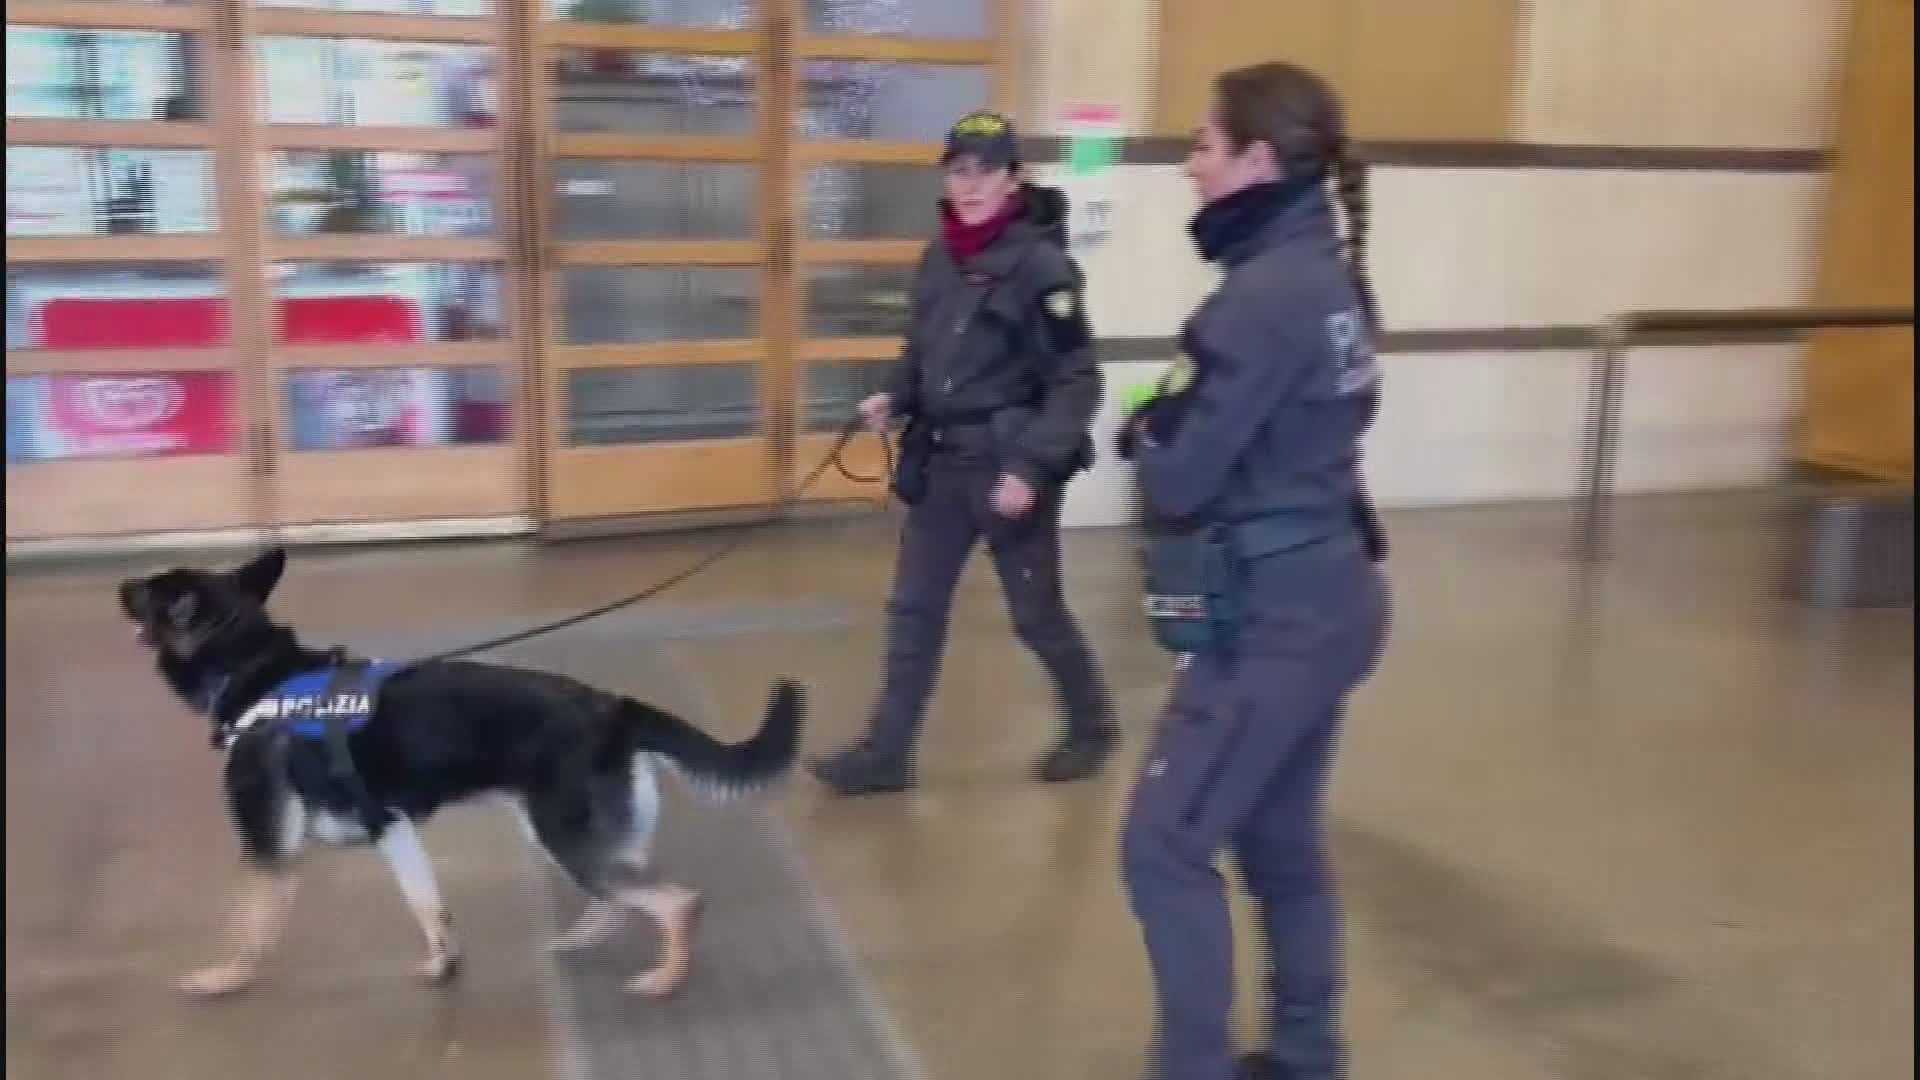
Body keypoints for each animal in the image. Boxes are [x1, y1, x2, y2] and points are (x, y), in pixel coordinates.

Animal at [114, 549, 802, 999]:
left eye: (151, 590)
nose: (121, 584)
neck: (254, 668)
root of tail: (616, 707)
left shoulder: (270, 849)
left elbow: (254, 924)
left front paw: (225, 976)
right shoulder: (393, 829)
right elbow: (427, 903)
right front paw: (443, 964)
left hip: (566, 838)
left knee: (676, 900)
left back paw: (667, 974)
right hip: (565, 835)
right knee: (623, 893)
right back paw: (581, 940)